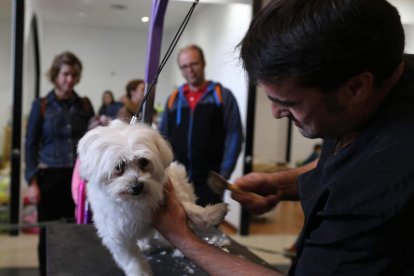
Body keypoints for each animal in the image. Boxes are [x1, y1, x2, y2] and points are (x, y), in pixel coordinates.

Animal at [76, 119, 228, 276]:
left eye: (143, 161)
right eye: (119, 166)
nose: (137, 186)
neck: (135, 201)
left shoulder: (169, 194)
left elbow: (187, 207)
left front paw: (211, 214)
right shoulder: (117, 237)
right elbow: (132, 259)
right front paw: (141, 272)